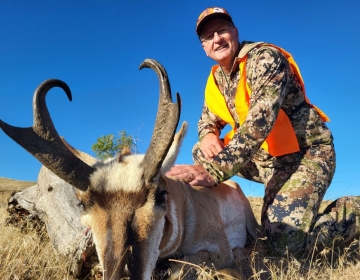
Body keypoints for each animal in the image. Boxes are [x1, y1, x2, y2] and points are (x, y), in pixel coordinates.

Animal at [0, 59, 258, 278]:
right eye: (83, 204)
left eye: (161, 195)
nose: (121, 273)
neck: (186, 203)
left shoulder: (218, 251)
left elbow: (180, 267)